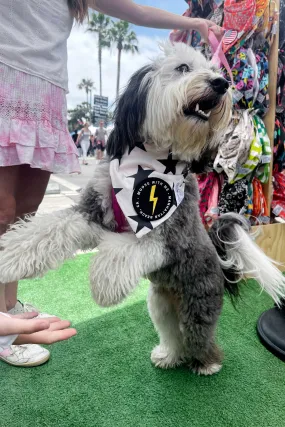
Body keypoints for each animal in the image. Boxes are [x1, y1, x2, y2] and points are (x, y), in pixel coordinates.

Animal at [0, 43, 284, 376]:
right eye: (183, 68)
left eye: (217, 72)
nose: (222, 84)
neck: (153, 161)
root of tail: (220, 263)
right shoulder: (92, 212)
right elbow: (49, 229)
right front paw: (10, 254)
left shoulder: (170, 238)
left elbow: (125, 250)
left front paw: (104, 284)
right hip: (160, 304)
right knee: (173, 334)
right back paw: (170, 356)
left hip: (198, 304)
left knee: (199, 336)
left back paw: (208, 364)